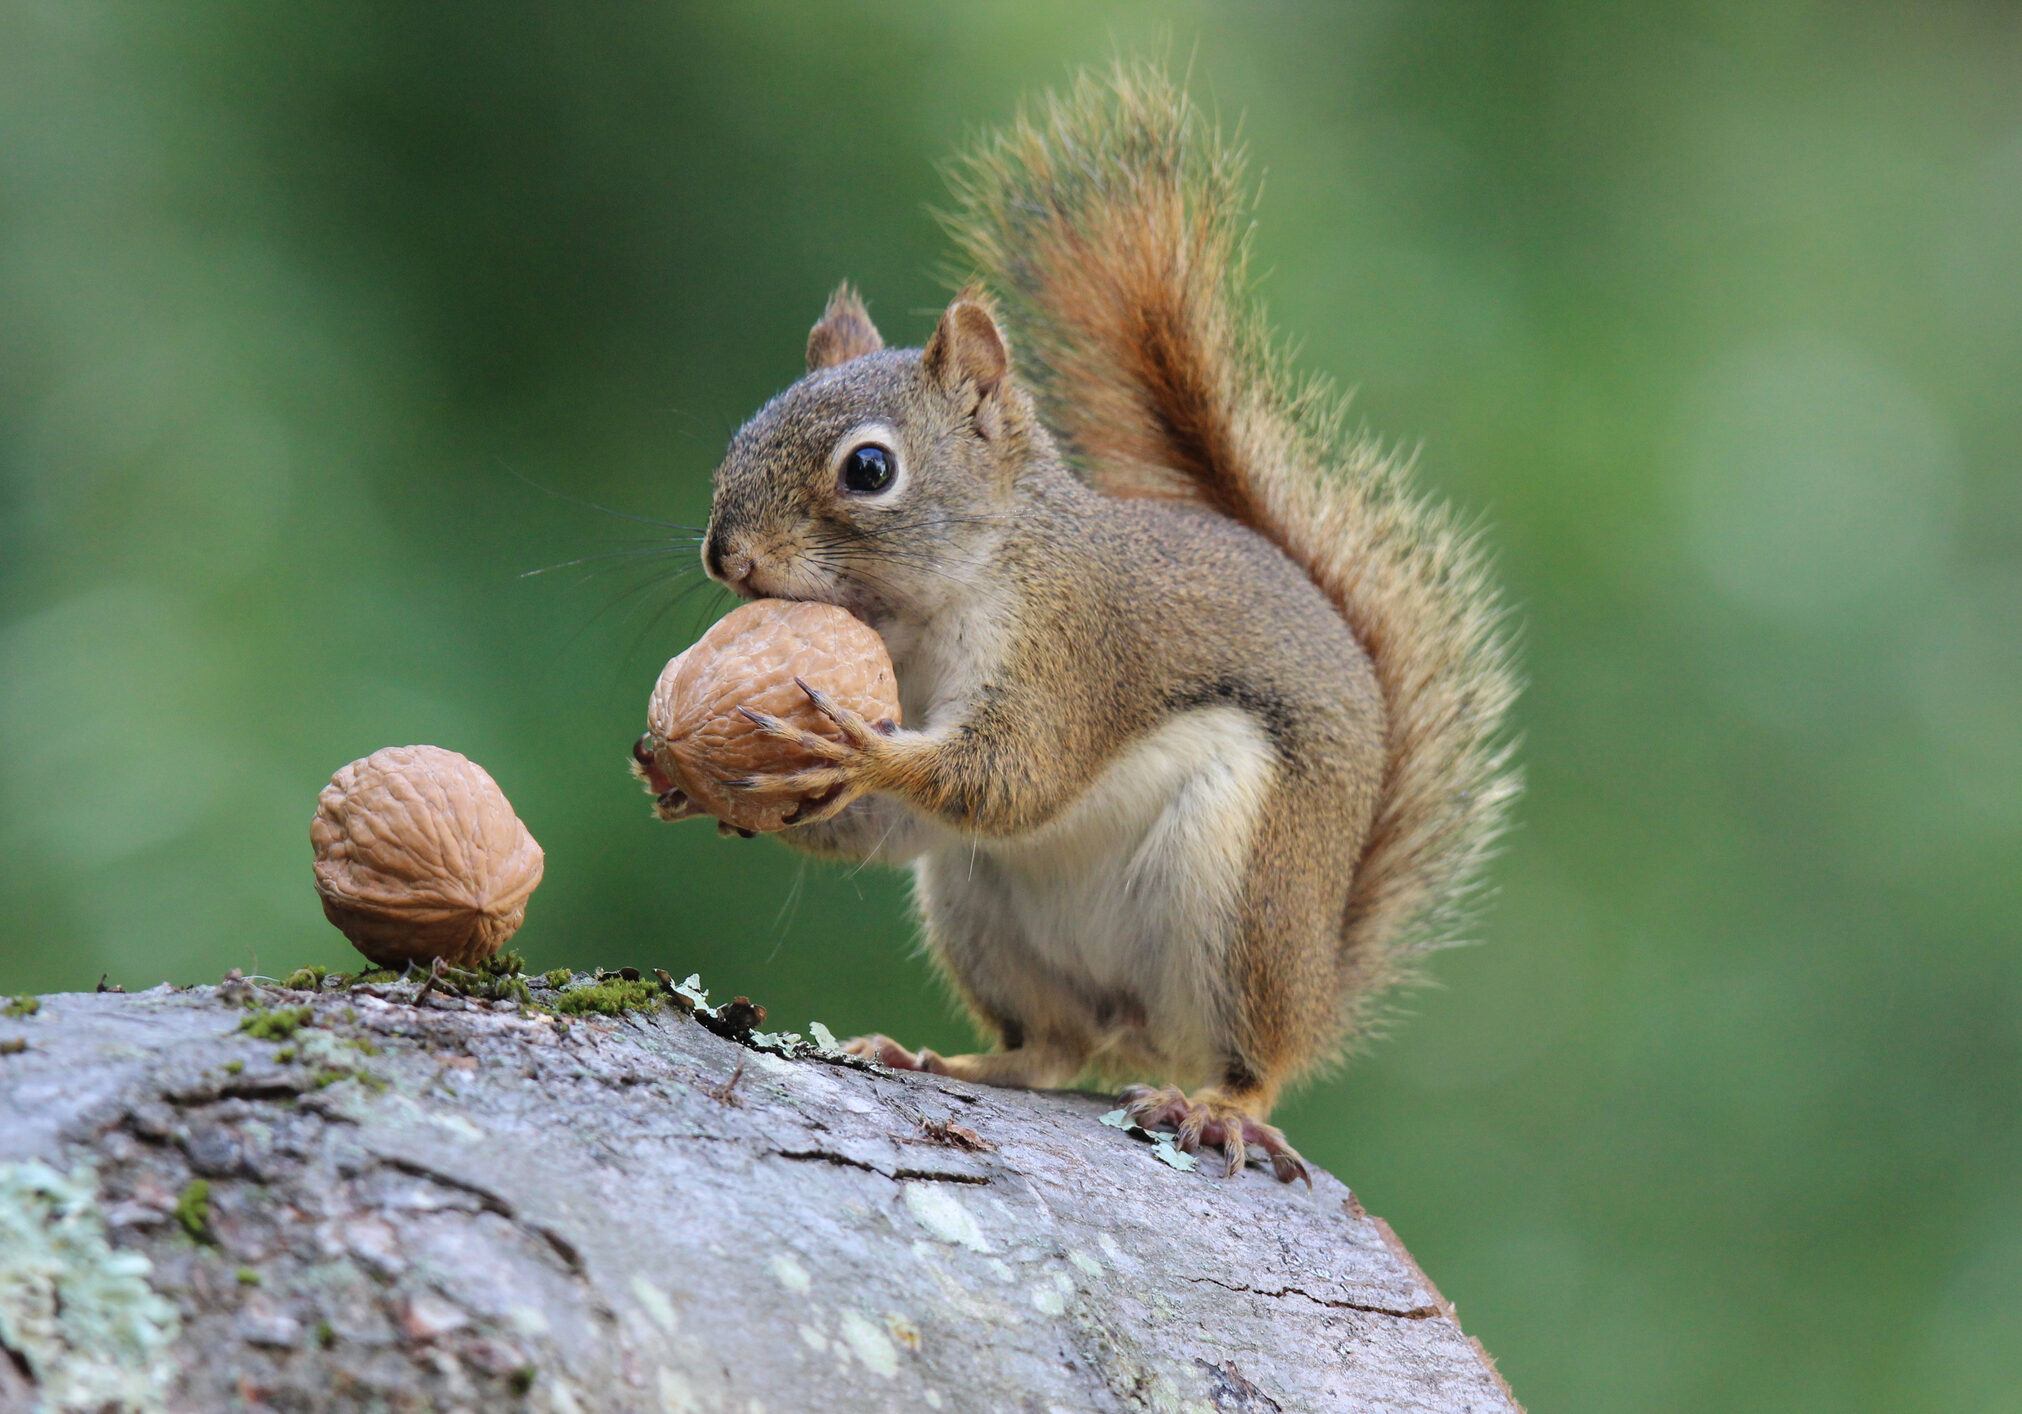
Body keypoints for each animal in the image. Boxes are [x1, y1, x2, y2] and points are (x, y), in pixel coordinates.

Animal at [686, 64, 1519, 1183]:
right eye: (745, 429)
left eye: (868, 468)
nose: (725, 555)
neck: (928, 610)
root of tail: (1317, 977)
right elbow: (895, 827)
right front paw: (701, 778)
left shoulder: (1072, 650)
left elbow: (1014, 774)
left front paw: (860, 750)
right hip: (978, 912)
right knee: (1055, 1048)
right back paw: (938, 1057)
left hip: (1242, 899)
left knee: (1250, 1059)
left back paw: (1218, 1107)